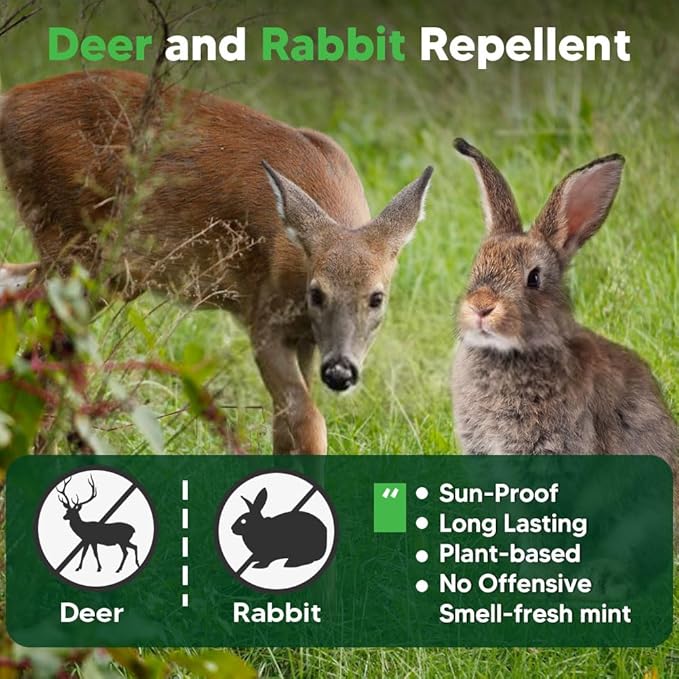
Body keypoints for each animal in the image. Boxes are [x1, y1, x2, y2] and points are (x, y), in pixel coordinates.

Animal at [0, 70, 433, 455]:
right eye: (317, 293)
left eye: (377, 297)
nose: (341, 371)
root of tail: (10, 101)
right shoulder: (264, 319)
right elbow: (307, 421)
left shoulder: (307, 338)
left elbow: (284, 427)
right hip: (73, 244)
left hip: (103, 271)